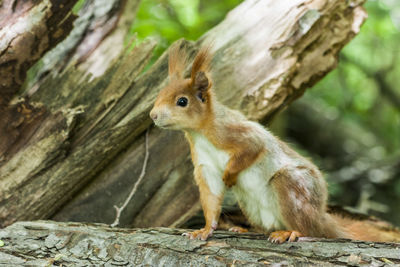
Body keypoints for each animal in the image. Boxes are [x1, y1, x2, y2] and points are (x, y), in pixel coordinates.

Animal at [149, 43, 400, 244]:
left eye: (182, 101)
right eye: (158, 95)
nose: (153, 115)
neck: (200, 133)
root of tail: (320, 215)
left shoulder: (237, 133)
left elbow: (252, 148)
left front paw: (229, 175)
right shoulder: (205, 166)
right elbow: (210, 200)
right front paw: (202, 231)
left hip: (291, 187)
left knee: (311, 230)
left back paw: (291, 233)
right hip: (248, 204)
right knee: (267, 226)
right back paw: (244, 229)